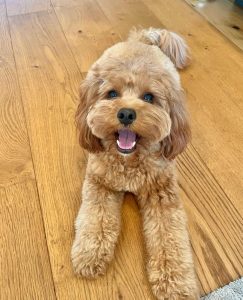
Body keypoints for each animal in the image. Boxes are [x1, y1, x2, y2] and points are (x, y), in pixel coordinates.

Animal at [71, 28, 199, 300]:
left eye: (149, 97)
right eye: (111, 94)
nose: (126, 113)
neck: (129, 160)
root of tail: (143, 39)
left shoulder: (161, 194)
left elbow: (169, 239)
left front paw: (175, 283)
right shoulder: (100, 185)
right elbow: (95, 220)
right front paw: (89, 254)